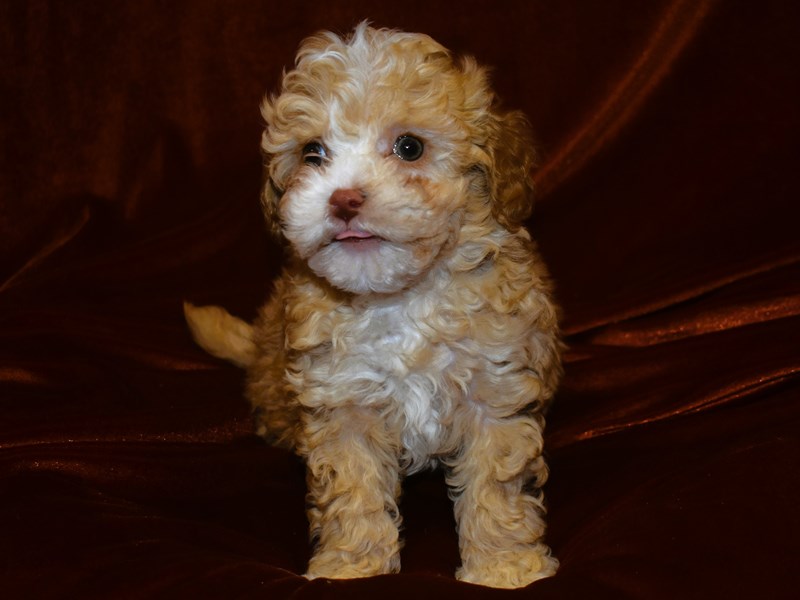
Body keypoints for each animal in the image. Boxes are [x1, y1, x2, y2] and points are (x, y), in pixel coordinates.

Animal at [186, 24, 564, 592]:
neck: (398, 299)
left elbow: (496, 486)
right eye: (313, 152)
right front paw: (352, 565)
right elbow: (353, 488)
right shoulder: (342, 402)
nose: (343, 199)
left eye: (410, 147)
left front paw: (505, 567)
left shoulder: (494, 388)